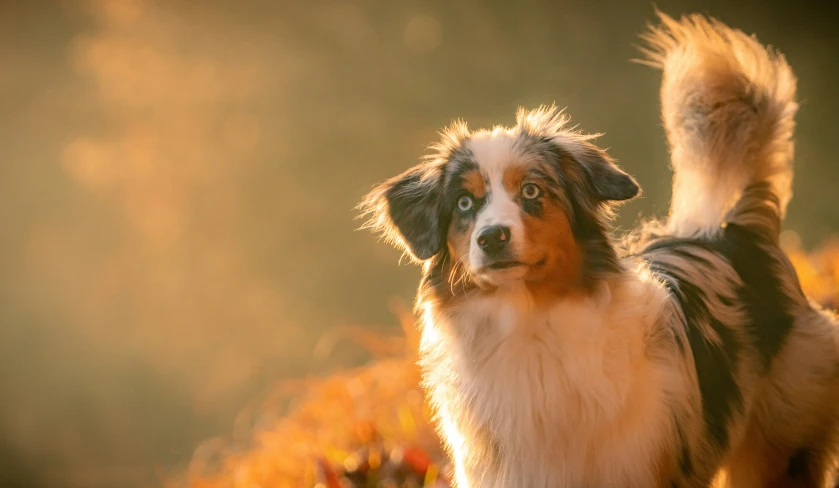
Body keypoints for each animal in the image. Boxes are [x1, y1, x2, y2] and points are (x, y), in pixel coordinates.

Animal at [358, 12, 839, 488]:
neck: (526, 323)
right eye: (463, 202)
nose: (492, 237)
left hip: (780, 445)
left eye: (531, 191)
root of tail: (734, 228)